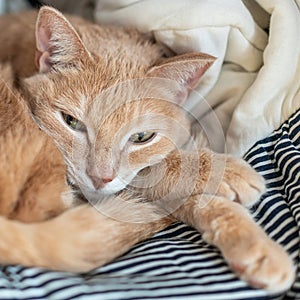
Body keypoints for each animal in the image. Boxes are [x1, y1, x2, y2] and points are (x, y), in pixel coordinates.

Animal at [0, 6, 296, 292]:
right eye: (71, 121)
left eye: (142, 137)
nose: (99, 178)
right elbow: (156, 171)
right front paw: (227, 171)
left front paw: (257, 247)